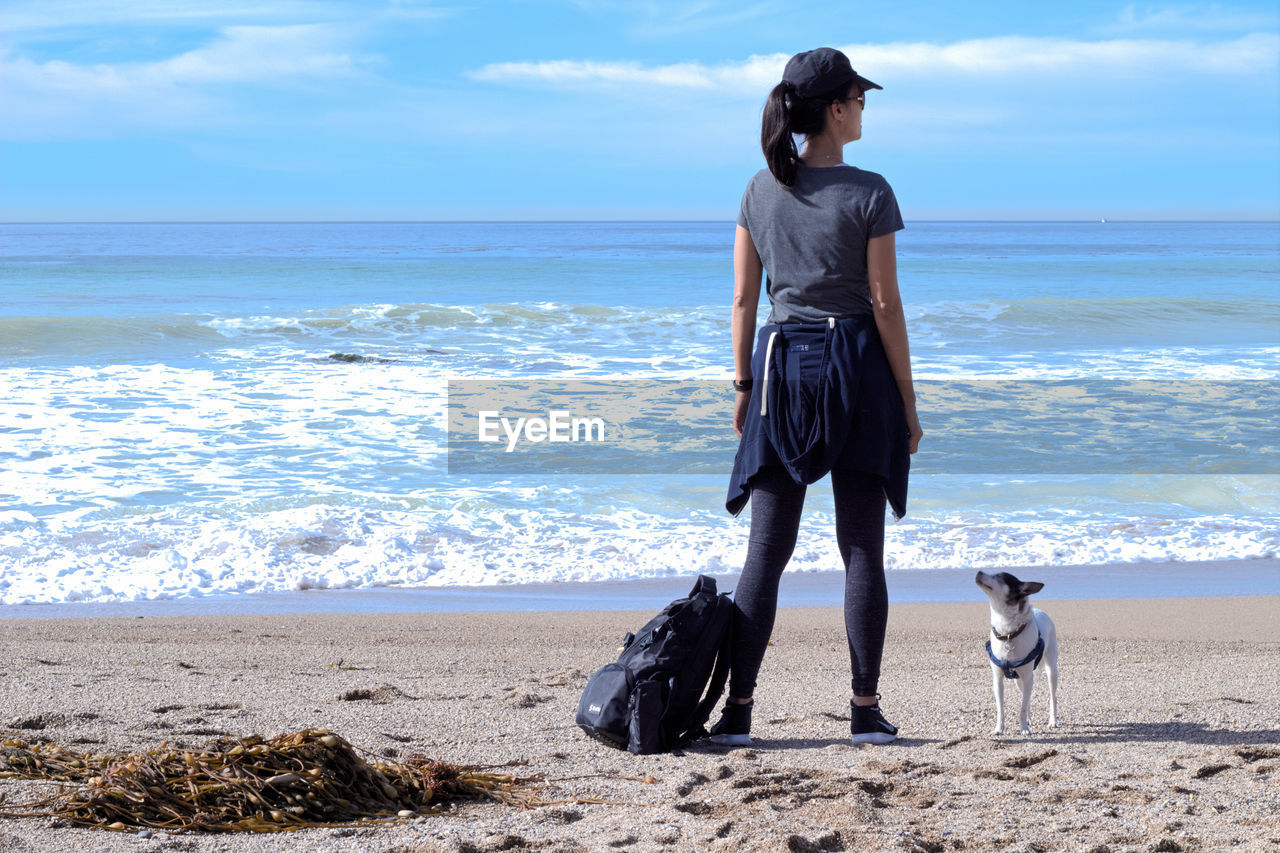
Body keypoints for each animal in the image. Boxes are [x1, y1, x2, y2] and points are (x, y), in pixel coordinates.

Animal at [972, 568, 1054, 732]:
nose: (978, 571)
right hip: (1019, 680)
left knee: (1052, 697)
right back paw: (1029, 718)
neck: (1008, 633)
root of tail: (1040, 611)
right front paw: (999, 728)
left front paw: (1024, 729)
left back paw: (1053, 720)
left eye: (999, 577)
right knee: (1027, 698)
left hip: (1051, 669)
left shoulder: (1028, 677)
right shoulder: (998, 680)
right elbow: (1001, 708)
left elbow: (1021, 708)